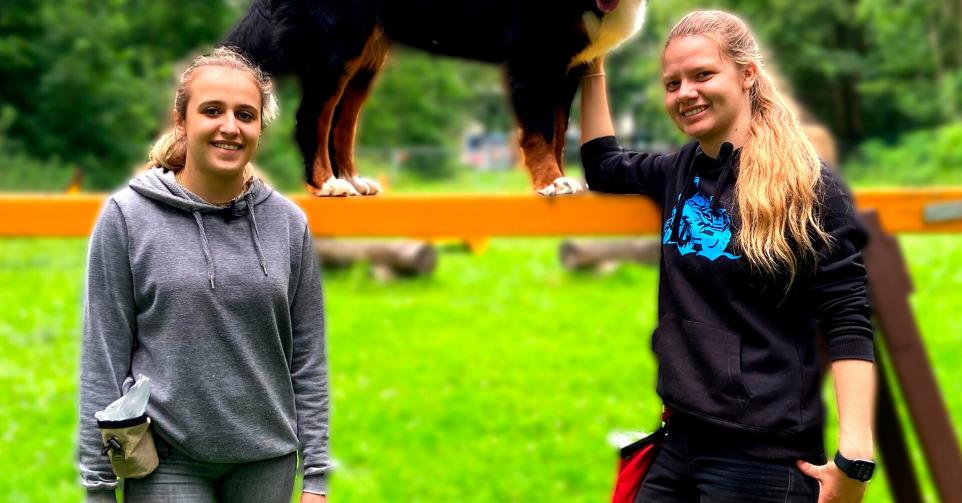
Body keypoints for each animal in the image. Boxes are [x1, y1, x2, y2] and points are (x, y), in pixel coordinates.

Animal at [225, 0, 646, 196]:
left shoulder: (569, 65)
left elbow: (558, 133)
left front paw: (560, 179)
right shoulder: (535, 57)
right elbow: (540, 132)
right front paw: (552, 183)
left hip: (366, 56)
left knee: (343, 122)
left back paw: (352, 179)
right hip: (339, 43)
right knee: (314, 116)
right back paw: (328, 184)